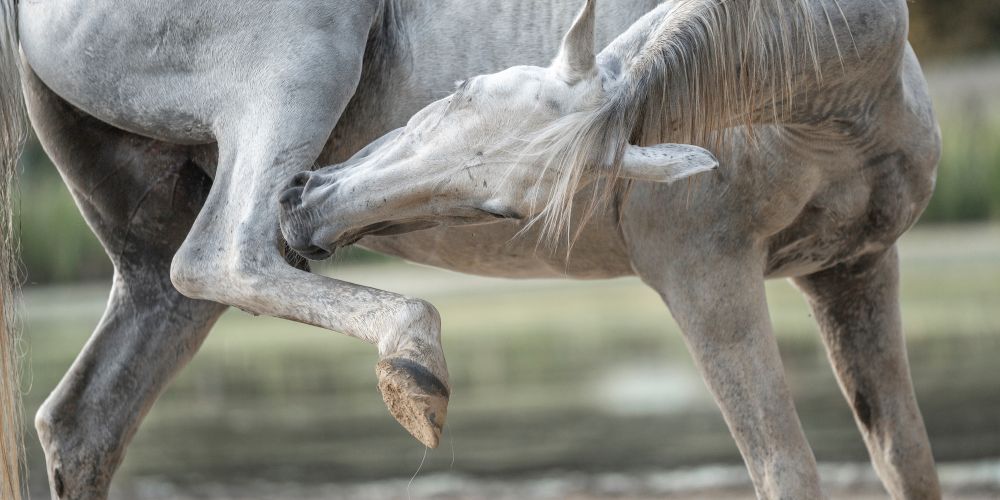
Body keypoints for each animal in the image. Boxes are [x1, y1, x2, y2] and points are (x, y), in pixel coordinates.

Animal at [0, 0, 941, 498]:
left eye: (504, 204)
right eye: (458, 90)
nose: (306, 207)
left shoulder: (854, 273)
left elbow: (906, 459)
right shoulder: (707, 278)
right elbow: (785, 468)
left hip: (148, 262)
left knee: (87, 416)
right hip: (291, 70)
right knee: (226, 258)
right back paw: (412, 366)